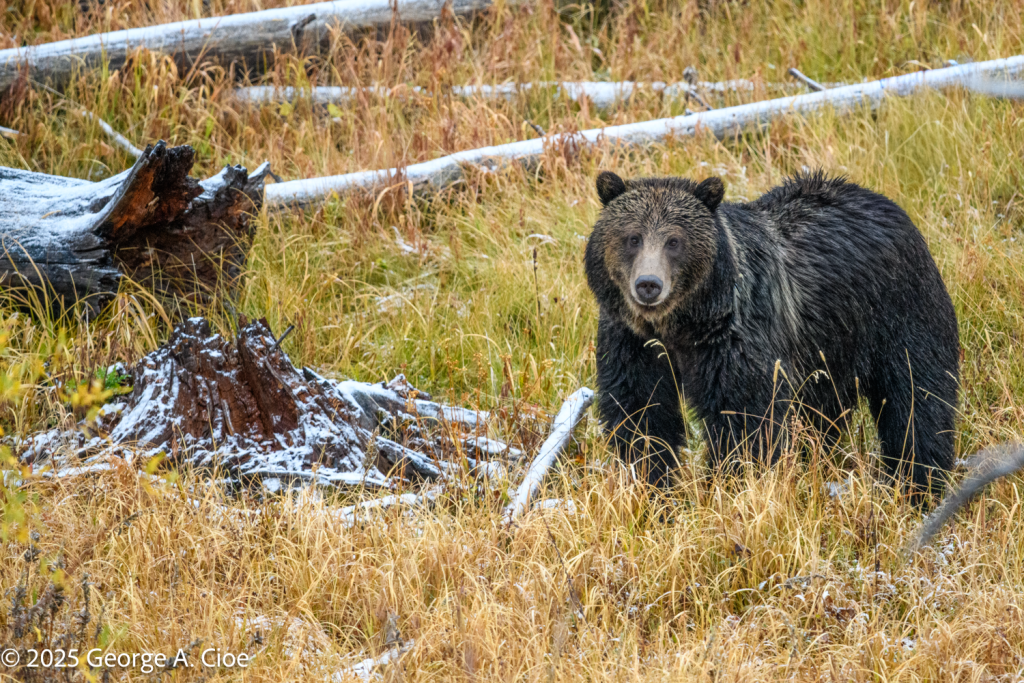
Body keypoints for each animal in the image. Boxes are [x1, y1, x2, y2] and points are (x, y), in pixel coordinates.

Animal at [584, 170, 960, 494]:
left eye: (675, 241)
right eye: (633, 237)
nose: (649, 285)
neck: (683, 325)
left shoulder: (735, 338)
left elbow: (744, 419)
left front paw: (734, 486)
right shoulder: (633, 342)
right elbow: (642, 414)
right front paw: (651, 487)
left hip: (898, 311)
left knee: (916, 397)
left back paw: (919, 482)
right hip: (827, 348)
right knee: (822, 414)